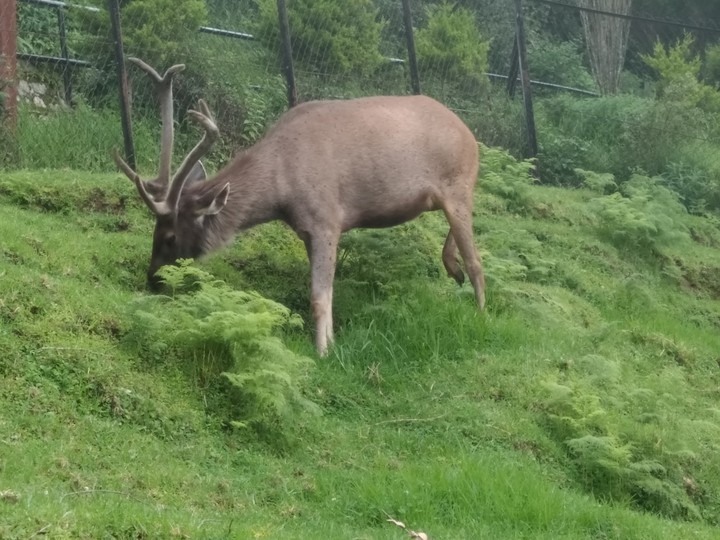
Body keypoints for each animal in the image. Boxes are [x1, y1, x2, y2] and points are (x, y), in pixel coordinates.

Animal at [113, 58, 486, 357]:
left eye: (171, 237)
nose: (152, 279)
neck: (282, 190)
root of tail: (471, 137)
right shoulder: (308, 230)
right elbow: (328, 293)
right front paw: (332, 342)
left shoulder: (326, 220)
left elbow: (318, 297)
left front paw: (322, 352)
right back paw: (452, 269)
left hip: (458, 184)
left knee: (477, 261)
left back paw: (480, 310)